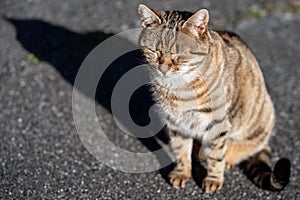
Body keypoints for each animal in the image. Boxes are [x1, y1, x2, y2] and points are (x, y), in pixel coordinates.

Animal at [137, 3, 290, 193]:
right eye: (154, 51)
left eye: (179, 55)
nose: (163, 68)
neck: (179, 88)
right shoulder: (175, 123)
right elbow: (180, 150)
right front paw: (181, 173)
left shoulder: (218, 123)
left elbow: (216, 156)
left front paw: (213, 179)